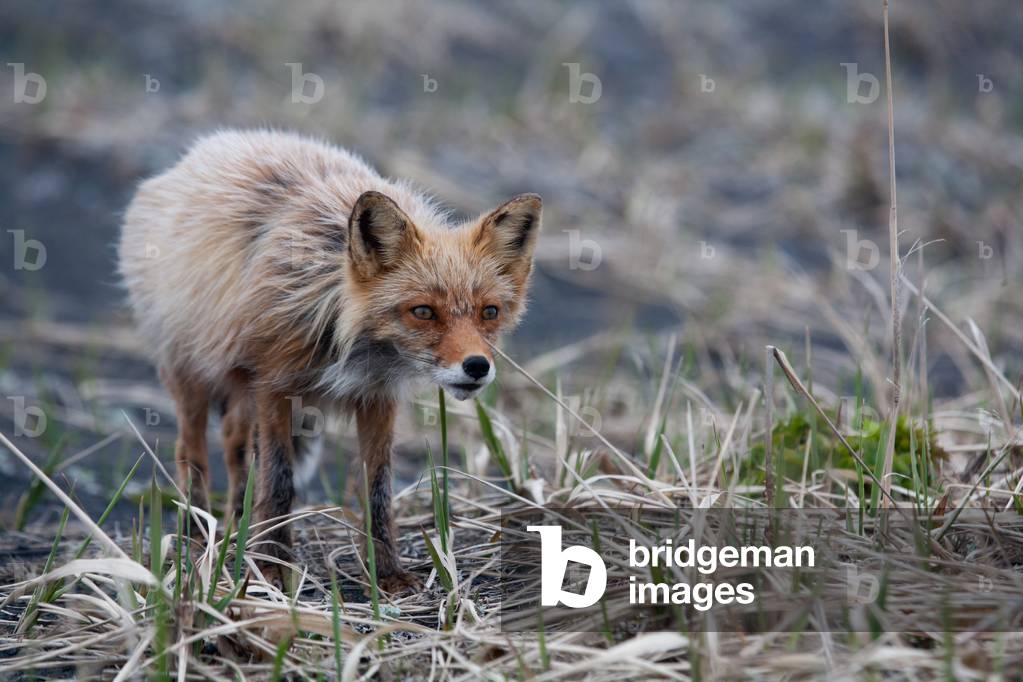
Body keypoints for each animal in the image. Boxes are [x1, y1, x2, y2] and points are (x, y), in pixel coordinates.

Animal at [118, 129, 541, 591]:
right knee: (191, 451)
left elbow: (377, 493)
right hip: (191, 373)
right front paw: (271, 567)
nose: (477, 367)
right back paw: (197, 534)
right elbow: (279, 483)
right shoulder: (274, 385)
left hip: (240, 392)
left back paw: (235, 524)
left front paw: (387, 573)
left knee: (233, 444)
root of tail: (196, 154)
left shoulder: (377, 397)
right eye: (424, 311)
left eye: (489, 312)